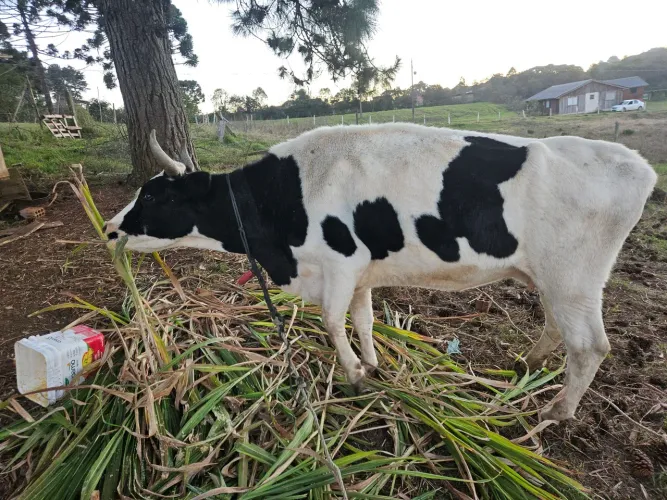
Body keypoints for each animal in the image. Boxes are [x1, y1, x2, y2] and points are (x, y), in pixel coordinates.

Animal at [104, 123, 657, 422]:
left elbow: (331, 323)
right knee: (556, 328)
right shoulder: (361, 274)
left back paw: (557, 411)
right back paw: (527, 364)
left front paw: (353, 375)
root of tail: (636, 163)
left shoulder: (339, 264)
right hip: (551, 278)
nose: (109, 229)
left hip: (574, 279)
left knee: (590, 346)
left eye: (155, 197)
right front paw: (372, 363)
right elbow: (363, 320)